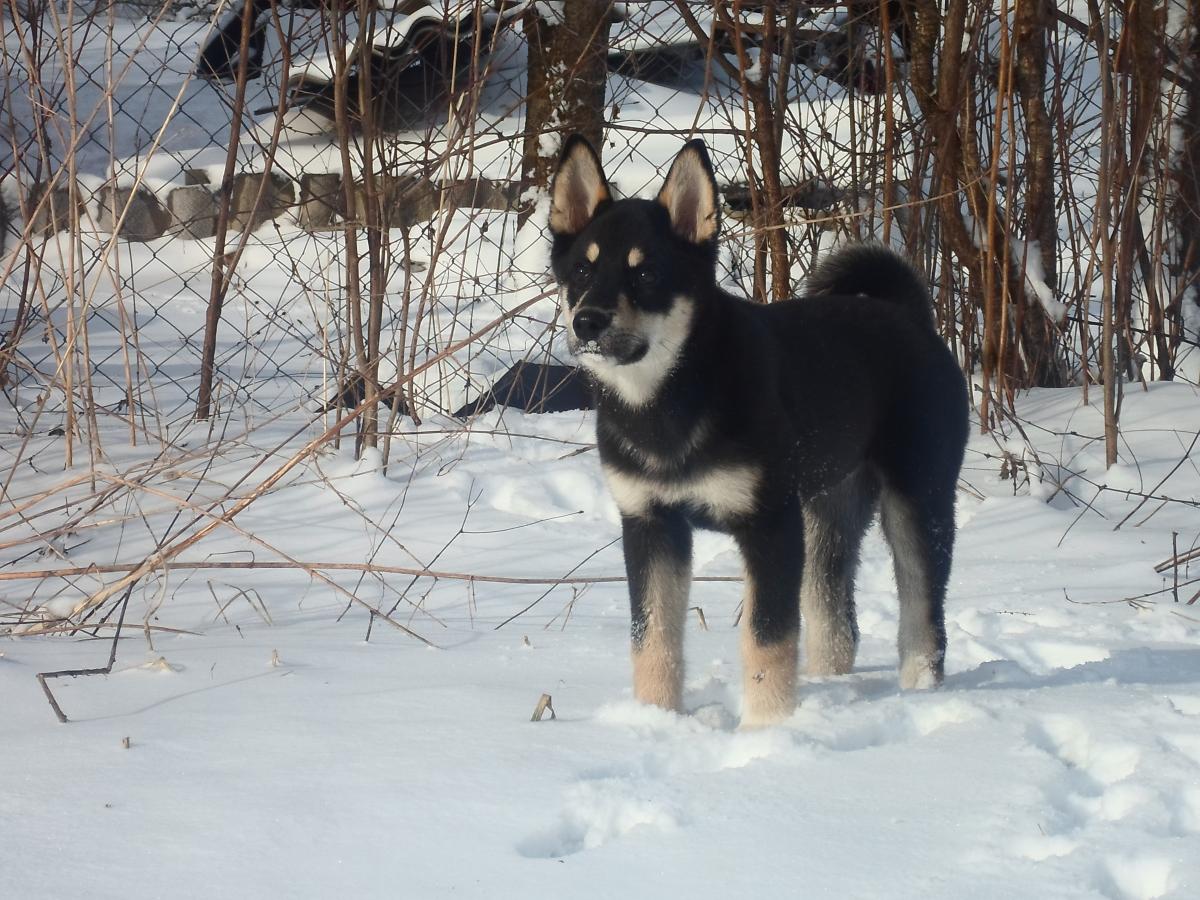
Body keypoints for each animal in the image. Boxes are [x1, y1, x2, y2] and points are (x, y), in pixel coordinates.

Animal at [549, 135, 969, 724]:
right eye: (582, 272)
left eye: (647, 274)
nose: (587, 321)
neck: (674, 398)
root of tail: (910, 316)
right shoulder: (650, 523)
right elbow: (651, 637)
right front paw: (656, 719)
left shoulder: (768, 524)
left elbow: (767, 638)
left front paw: (767, 729)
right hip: (829, 508)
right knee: (835, 616)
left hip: (917, 497)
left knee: (923, 612)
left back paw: (921, 693)